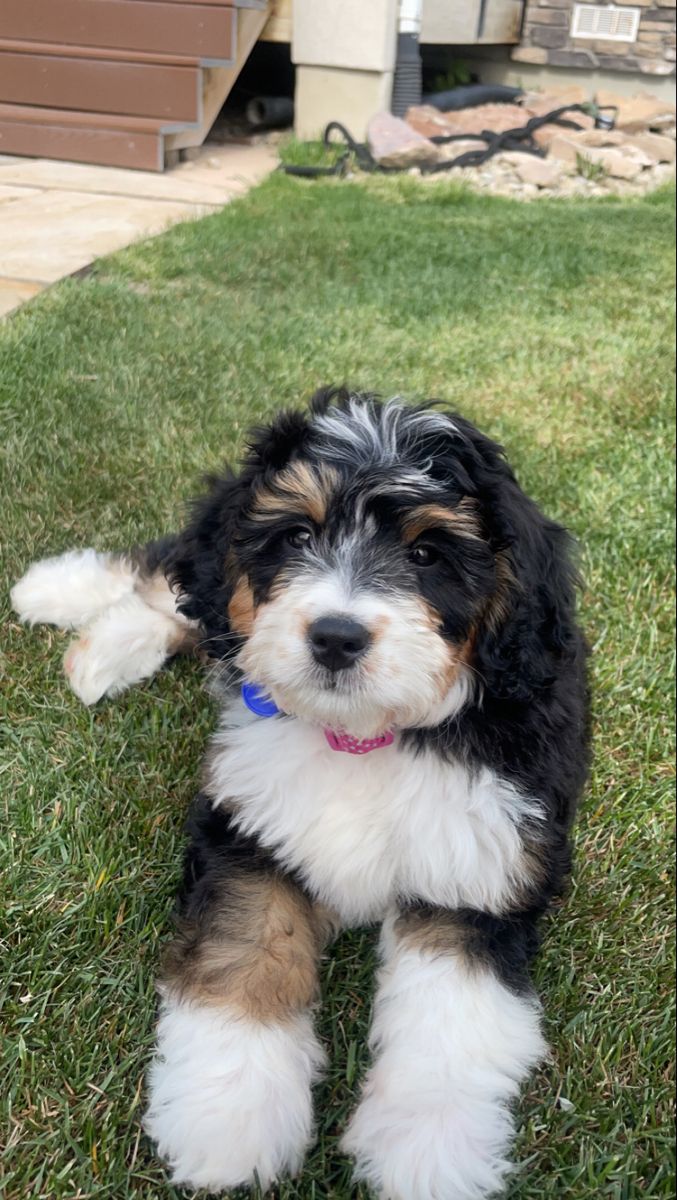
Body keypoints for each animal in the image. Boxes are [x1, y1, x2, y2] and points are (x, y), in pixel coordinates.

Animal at [13, 388, 590, 1195]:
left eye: (426, 554)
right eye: (295, 536)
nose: (336, 637)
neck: (363, 735)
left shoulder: (480, 869)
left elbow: (448, 1026)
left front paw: (425, 1150)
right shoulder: (248, 830)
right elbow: (244, 957)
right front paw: (227, 1119)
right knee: (175, 582)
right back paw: (62, 599)